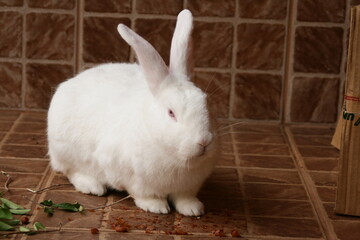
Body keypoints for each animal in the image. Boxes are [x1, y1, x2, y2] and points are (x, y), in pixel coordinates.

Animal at [46, 9, 218, 217]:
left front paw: (193, 209)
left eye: (205, 101)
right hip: (66, 151)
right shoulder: (132, 177)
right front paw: (156, 207)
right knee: (71, 171)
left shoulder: (188, 186)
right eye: (171, 113)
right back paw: (92, 186)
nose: (204, 141)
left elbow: (184, 198)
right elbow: (144, 194)